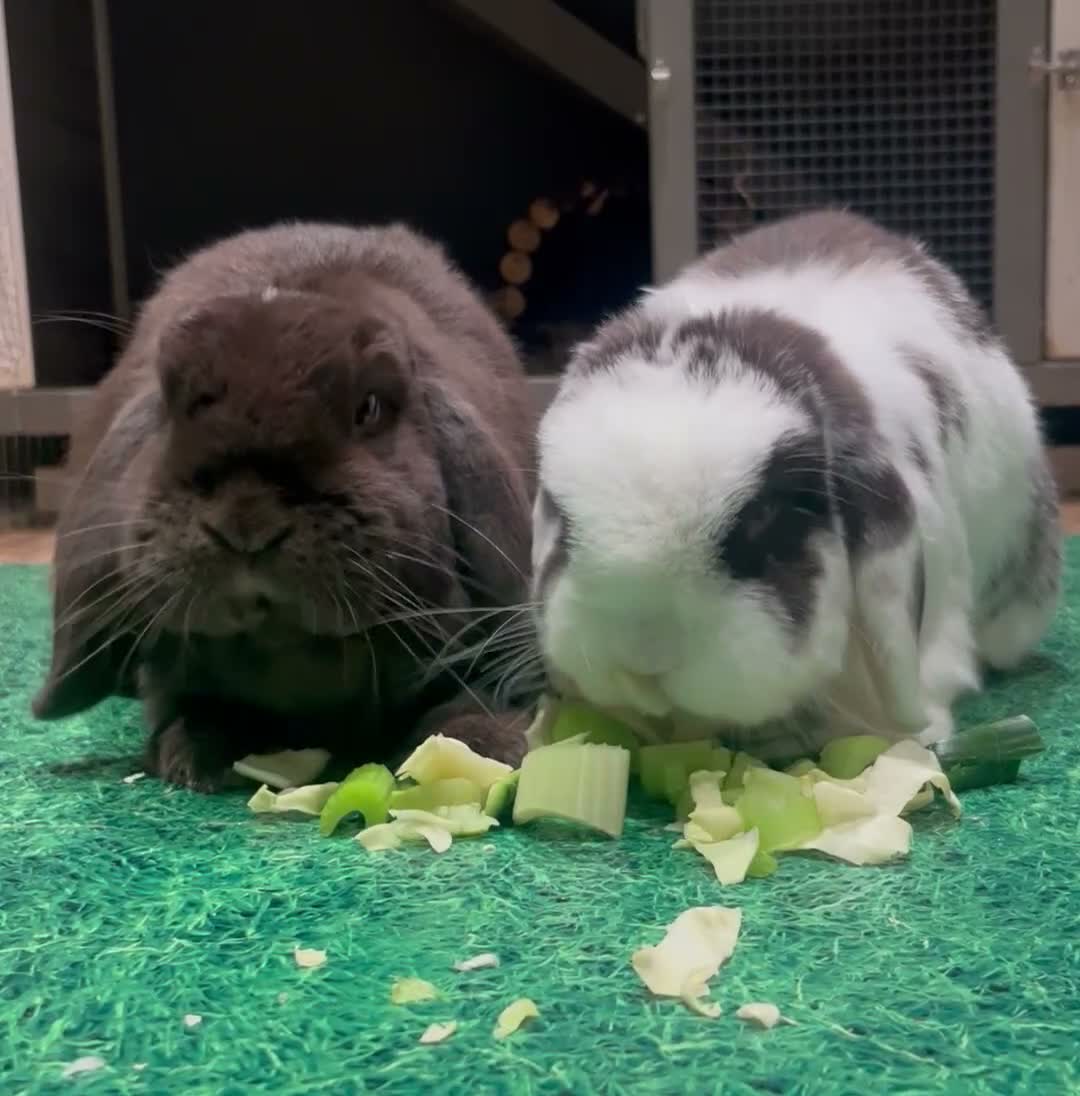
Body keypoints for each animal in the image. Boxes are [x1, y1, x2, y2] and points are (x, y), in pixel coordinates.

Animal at [33, 221, 537, 789]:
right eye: (169, 405)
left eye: (369, 408)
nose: (247, 521)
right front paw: (194, 755)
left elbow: (470, 700)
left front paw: (486, 749)